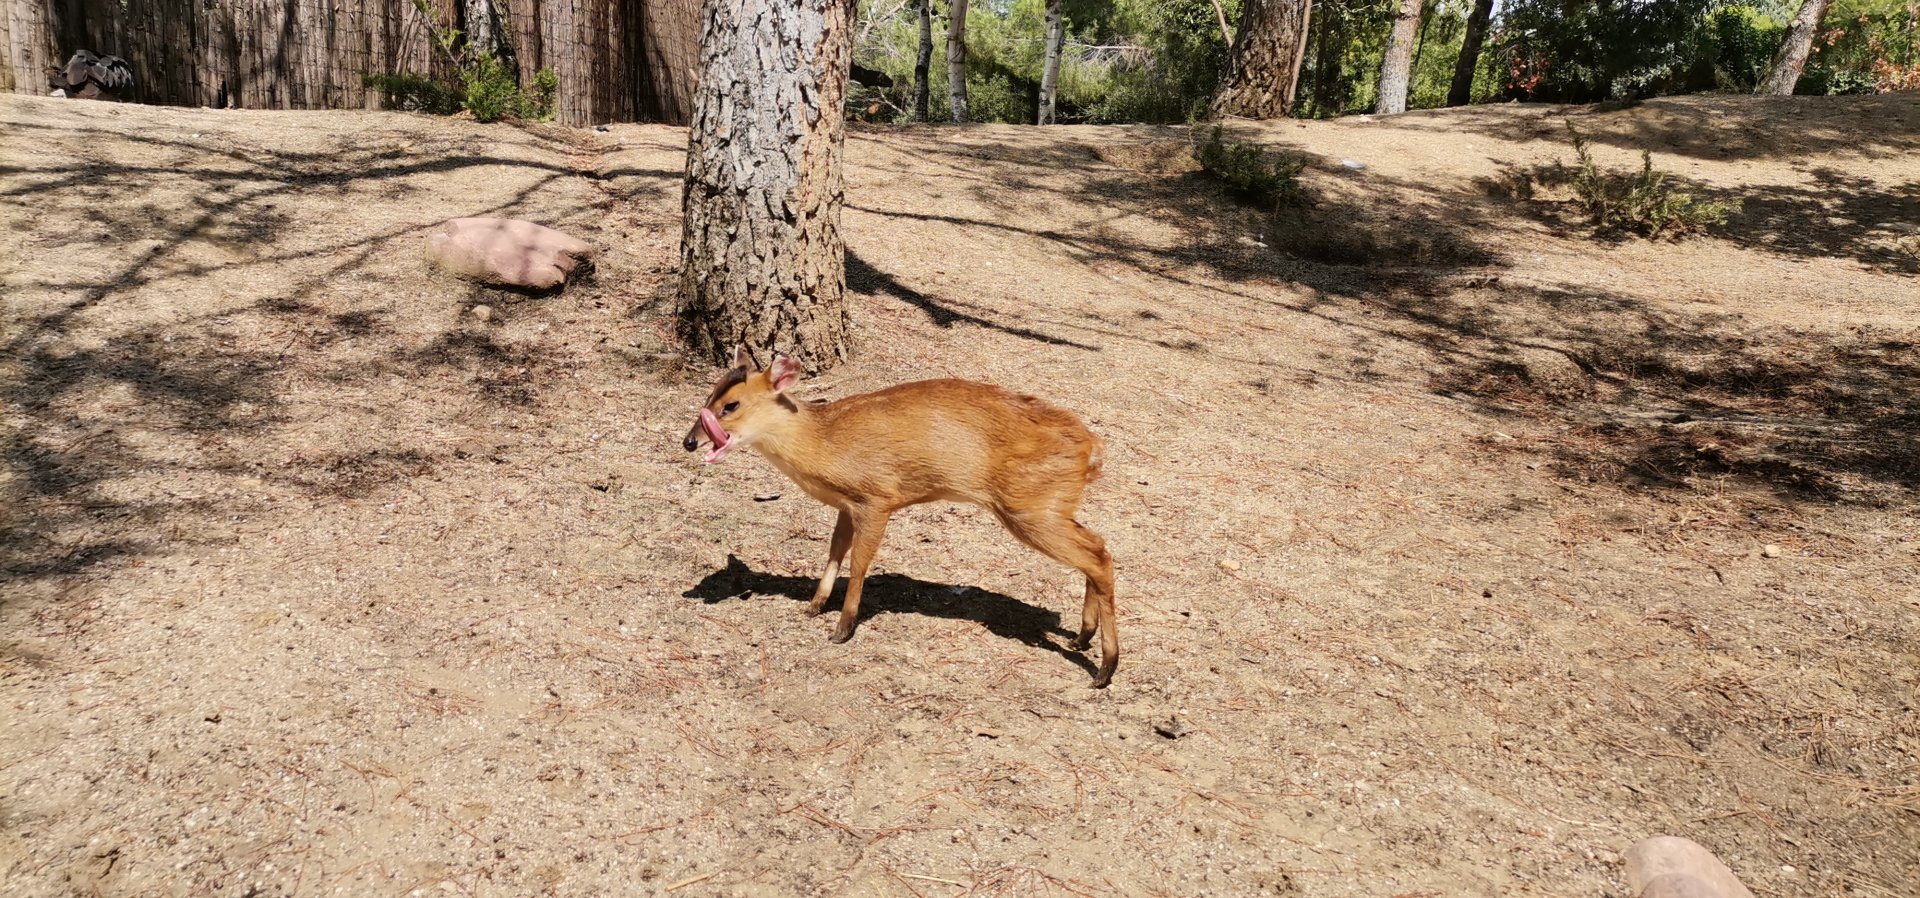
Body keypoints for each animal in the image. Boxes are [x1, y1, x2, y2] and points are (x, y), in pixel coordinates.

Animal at [682, 347, 1120, 688]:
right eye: (710, 394)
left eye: (731, 405)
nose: (689, 441)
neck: (824, 444)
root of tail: (1093, 449)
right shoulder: (848, 504)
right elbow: (835, 550)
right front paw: (814, 605)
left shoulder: (878, 497)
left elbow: (860, 562)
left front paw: (842, 629)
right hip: (1051, 505)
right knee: (1097, 546)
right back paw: (1082, 638)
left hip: (1029, 506)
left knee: (1097, 556)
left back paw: (1104, 670)